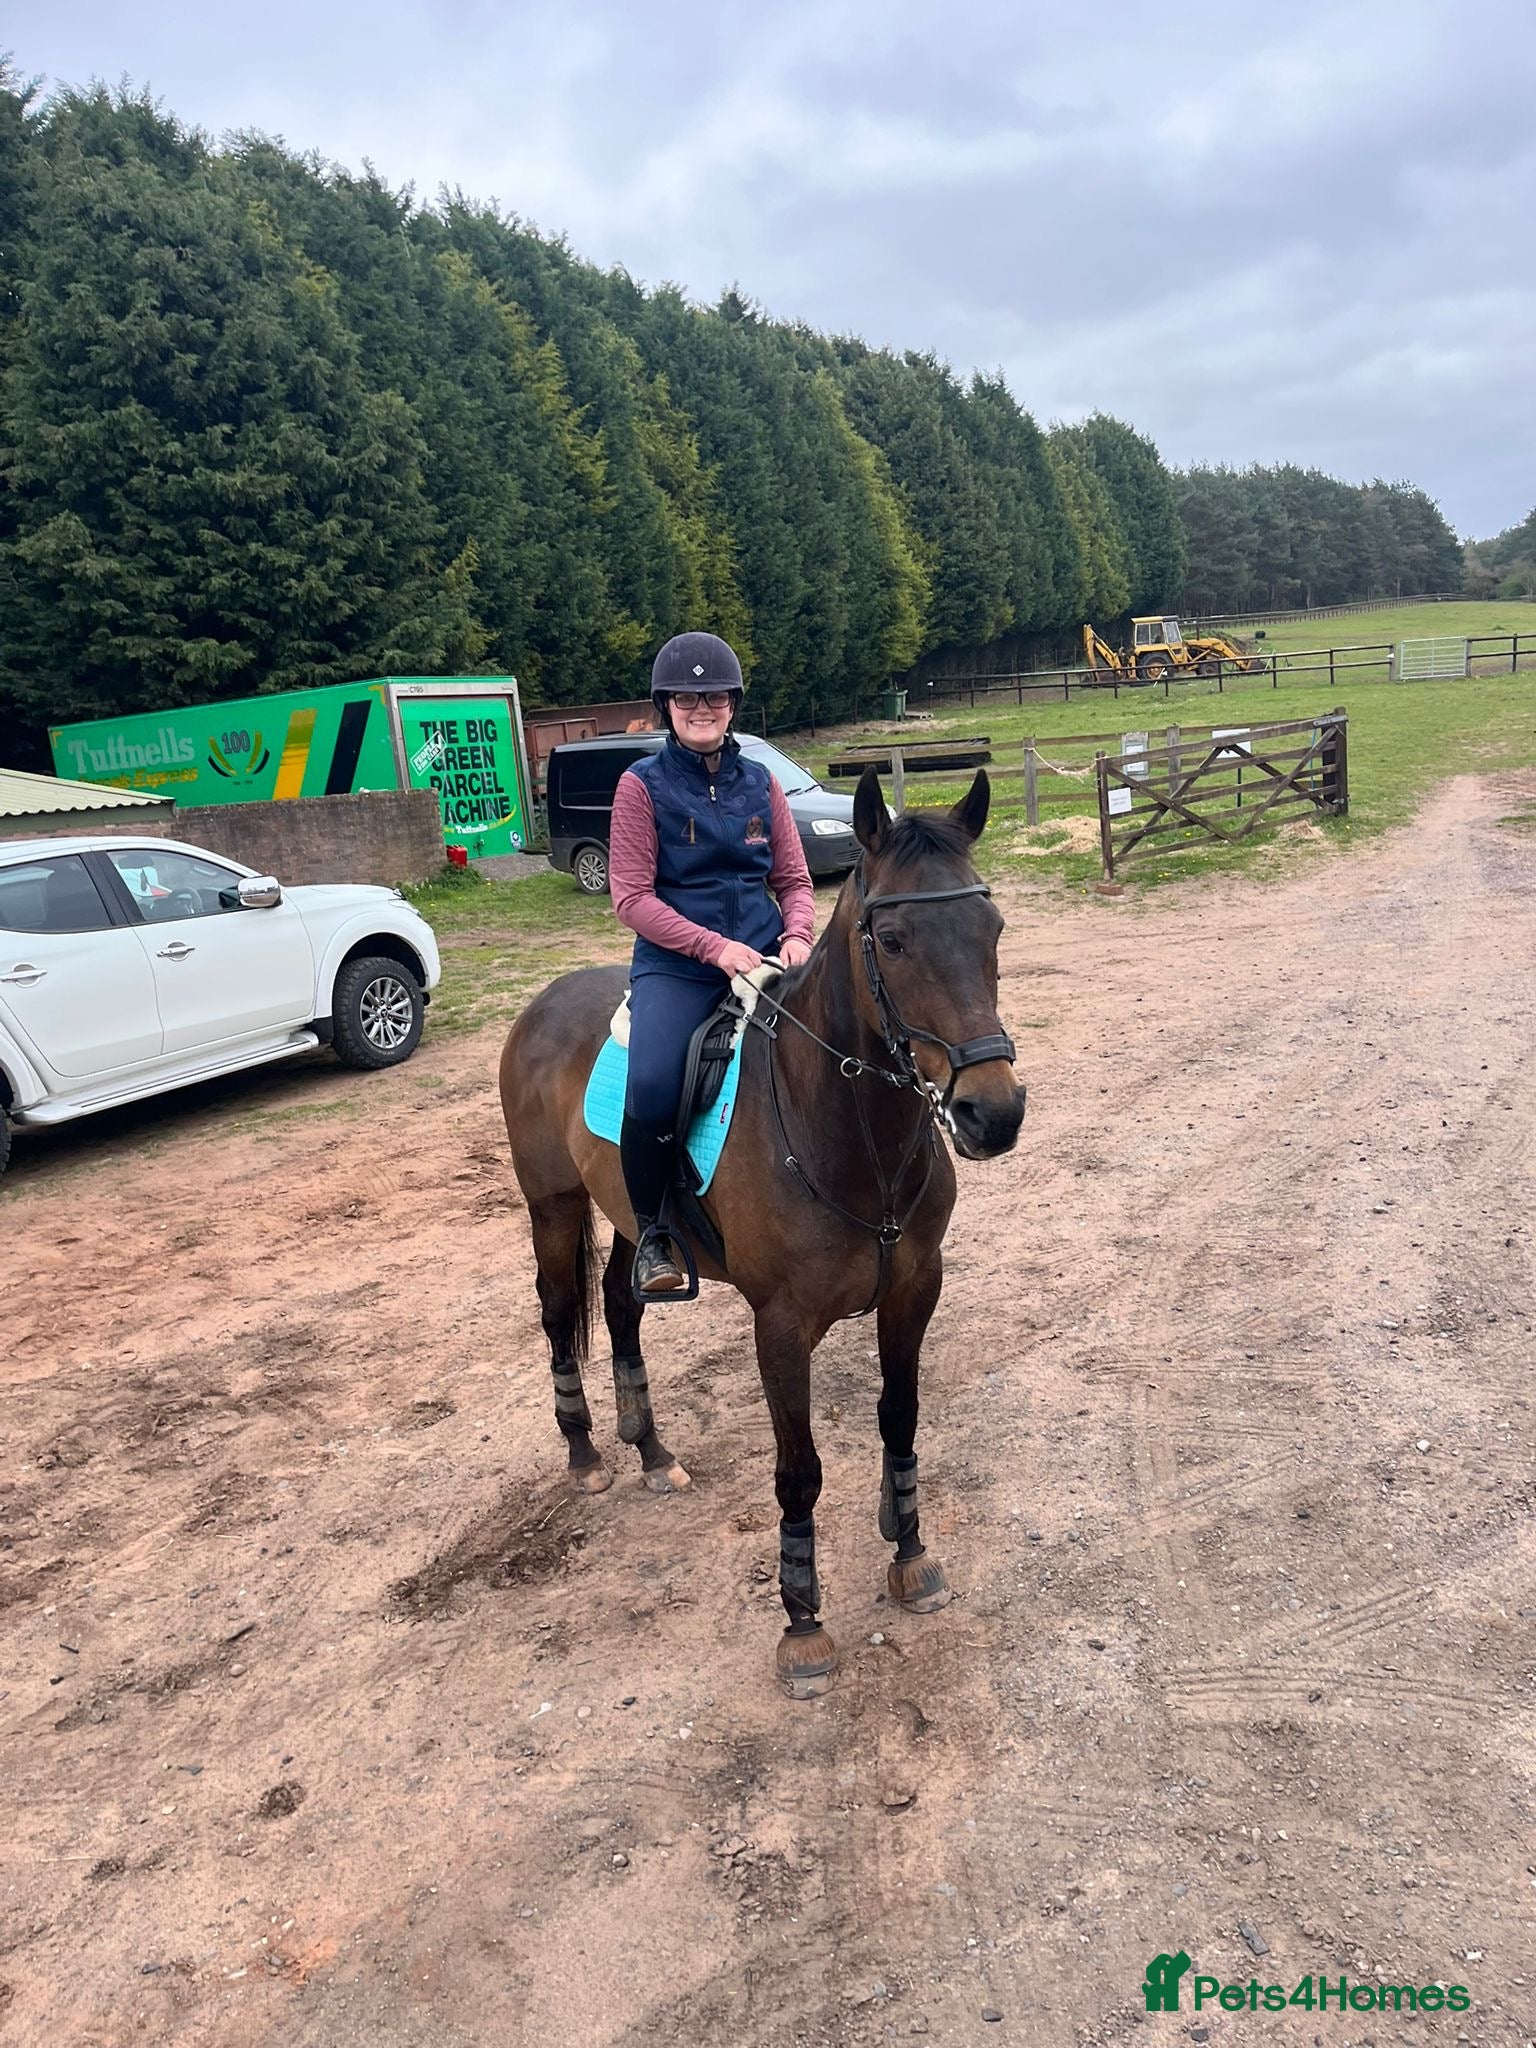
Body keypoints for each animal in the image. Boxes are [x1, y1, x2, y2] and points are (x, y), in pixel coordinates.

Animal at [498, 767, 1025, 1696]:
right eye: (892, 940)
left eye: (990, 927)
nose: (992, 1114)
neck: (847, 1129)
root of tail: (544, 1004)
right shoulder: (780, 1326)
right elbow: (800, 1470)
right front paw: (803, 1623)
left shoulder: (915, 1290)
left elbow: (901, 1420)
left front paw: (910, 1554)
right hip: (553, 1205)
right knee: (561, 1315)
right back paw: (587, 1455)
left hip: (630, 1215)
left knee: (622, 1307)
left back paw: (651, 1451)